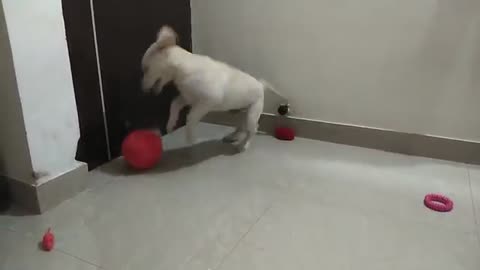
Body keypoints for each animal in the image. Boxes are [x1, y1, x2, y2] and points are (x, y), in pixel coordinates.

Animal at [142, 26, 278, 151]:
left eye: (146, 68)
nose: (142, 88)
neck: (182, 68)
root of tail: (261, 84)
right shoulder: (187, 98)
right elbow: (174, 104)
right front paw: (170, 125)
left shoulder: (206, 102)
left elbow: (191, 117)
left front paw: (191, 139)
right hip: (240, 111)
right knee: (243, 127)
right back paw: (233, 137)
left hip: (252, 113)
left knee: (253, 129)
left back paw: (244, 145)